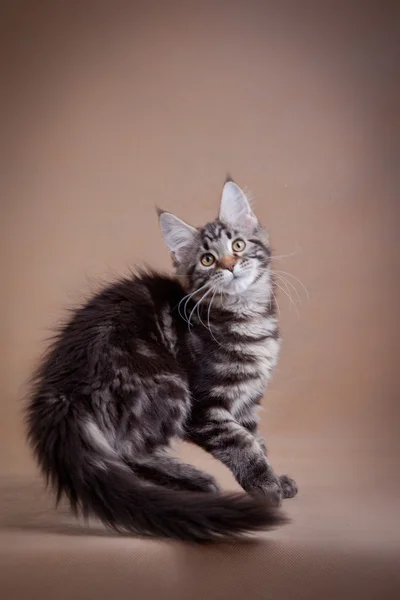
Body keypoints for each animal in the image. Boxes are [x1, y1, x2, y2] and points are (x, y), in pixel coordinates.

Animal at [25, 177, 296, 540]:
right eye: (207, 260)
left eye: (238, 245)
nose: (229, 266)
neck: (247, 316)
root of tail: (59, 388)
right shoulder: (205, 409)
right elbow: (241, 445)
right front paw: (266, 487)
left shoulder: (248, 402)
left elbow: (257, 441)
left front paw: (276, 479)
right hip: (166, 383)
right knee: (128, 451)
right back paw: (195, 481)